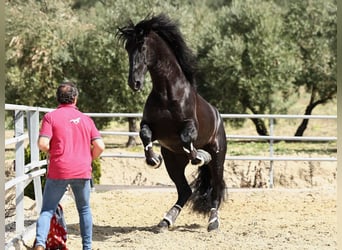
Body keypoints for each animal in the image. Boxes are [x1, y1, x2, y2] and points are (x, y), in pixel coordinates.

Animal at [117, 13, 227, 231]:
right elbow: (145, 134)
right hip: (173, 161)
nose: (134, 83)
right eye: (127, 48)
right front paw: (153, 160)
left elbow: (186, 139)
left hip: (219, 157)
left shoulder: (190, 127)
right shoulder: (151, 127)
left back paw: (213, 223)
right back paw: (165, 221)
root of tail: (219, 117)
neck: (168, 93)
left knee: (216, 190)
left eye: (142, 47)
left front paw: (200, 156)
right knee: (185, 191)